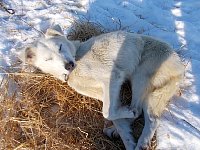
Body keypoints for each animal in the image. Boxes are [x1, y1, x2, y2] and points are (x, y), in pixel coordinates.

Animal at [17, 25, 184, 149]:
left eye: (60, 47)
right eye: (48, 59)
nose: (69, 64)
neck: (78, 59)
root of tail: (180, 65)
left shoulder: (113, 77)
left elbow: (107, 113)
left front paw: (126, 119)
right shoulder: (109, 93)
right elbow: (114, 115)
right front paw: (126, 136)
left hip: (140, 76)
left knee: (146, 115)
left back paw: (141, 141)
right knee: (141, 114)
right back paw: (116, 130)